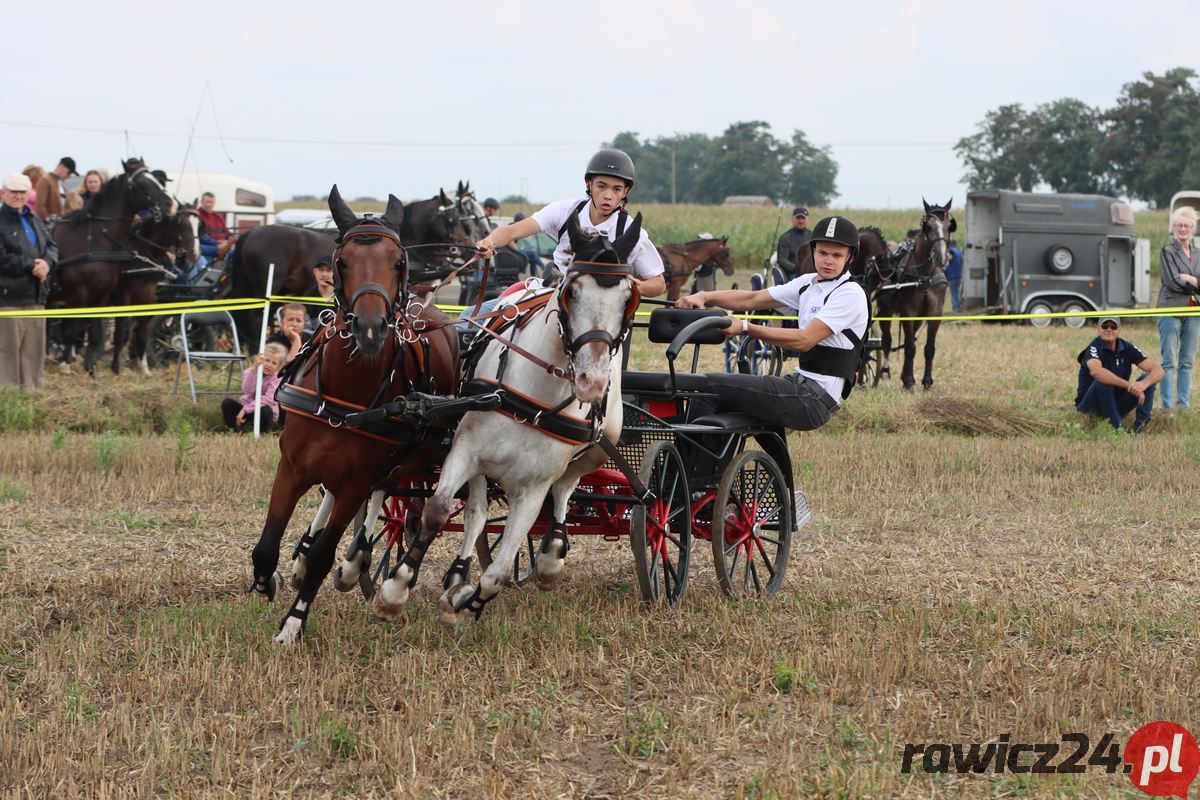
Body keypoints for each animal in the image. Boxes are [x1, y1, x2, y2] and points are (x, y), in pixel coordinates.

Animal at [48, 163, 177, 379]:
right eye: (143, 184)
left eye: (159, 181)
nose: (170, 205)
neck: (93, 240)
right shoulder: (78, 293)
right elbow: (72, 330)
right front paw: (66, 366)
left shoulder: (103, 294)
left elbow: (94, 333)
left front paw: (91, 368)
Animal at [248, 185, 458, 642]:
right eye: (341, 261)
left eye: (398, 261)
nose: (370, 328)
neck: (347, 390)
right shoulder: (292, 466)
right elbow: (267, 545)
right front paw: (270, 578)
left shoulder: (359, 477)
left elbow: (327, 554)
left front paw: (293, 625)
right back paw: (309, 553)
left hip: (409, 456)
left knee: (385, 493)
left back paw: (354, 560)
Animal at [873, 196, 955, 391]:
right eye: (928, 226)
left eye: (949, 226)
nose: (942, 258)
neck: (925, 275)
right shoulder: (908, 312)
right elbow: (910, 347)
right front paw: (910, 382)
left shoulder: (934, 313)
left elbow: (928, 348)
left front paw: (926, 381)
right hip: (886, 311)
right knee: (887, 342)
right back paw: (885, 374)